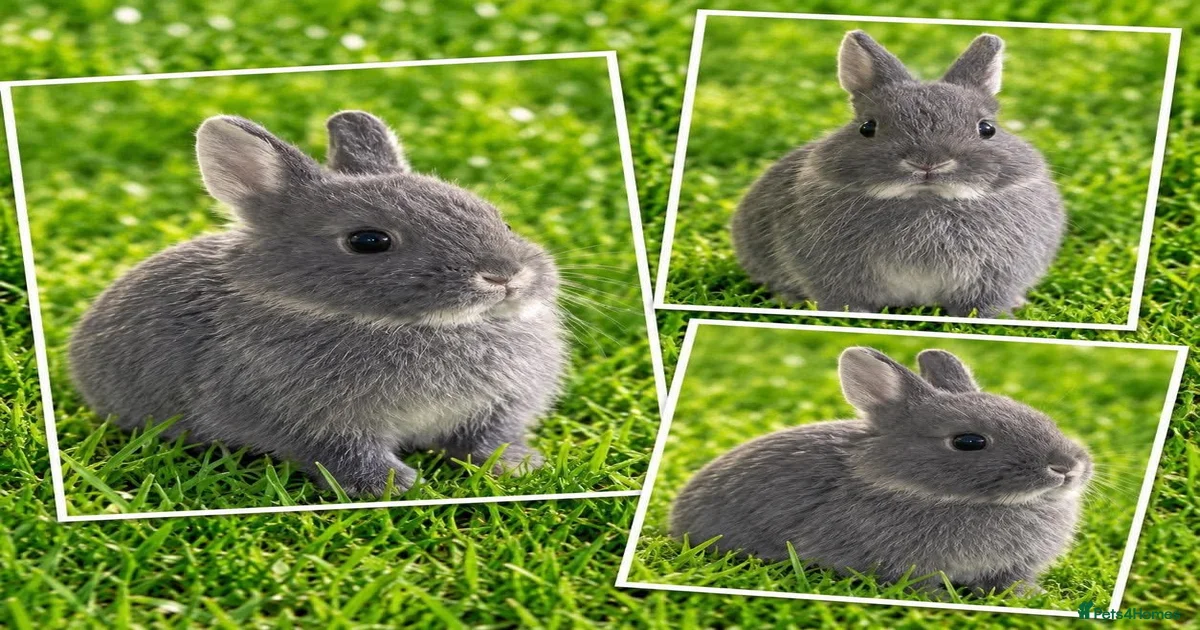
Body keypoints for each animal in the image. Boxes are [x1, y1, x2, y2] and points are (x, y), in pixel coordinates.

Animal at [67, 111, 568, 498]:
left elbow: (488, 440)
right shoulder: (316, 424)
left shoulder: (497, 408)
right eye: (369, 241)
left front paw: (518, 465)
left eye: (500, 220)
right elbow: (342, 453)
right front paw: (392, 485)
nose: (505, 276)